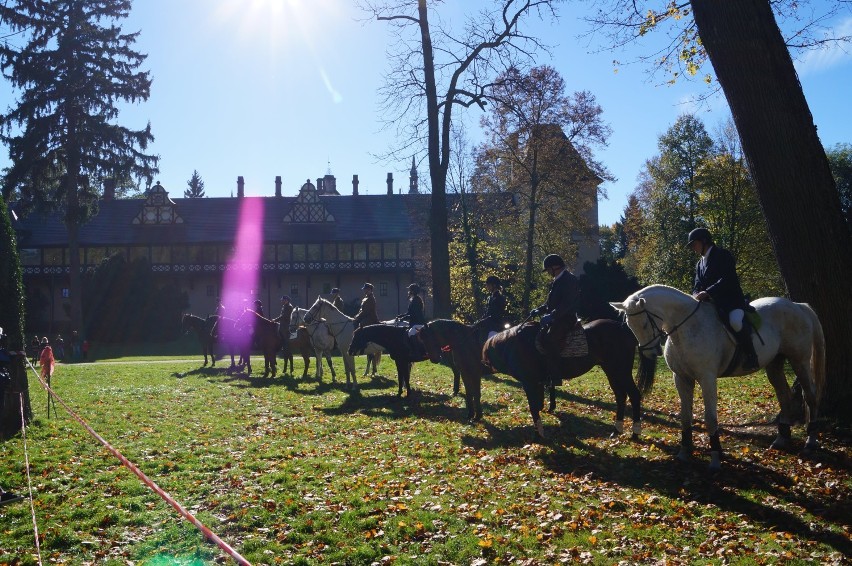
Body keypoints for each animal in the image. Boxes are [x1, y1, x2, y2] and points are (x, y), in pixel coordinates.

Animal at [422, 320, 656, 440]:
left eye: (426, 335)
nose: (434, 358)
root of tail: (624, 328)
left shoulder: (472, 374)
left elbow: (474, 394)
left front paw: (474, 416)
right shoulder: (468, 374)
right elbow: (472, 395)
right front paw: (473, 415)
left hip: (619, 369)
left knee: (633, 395)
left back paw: (634, 433)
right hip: (611, 370)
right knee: (620, 396)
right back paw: (616, 429)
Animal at [612, 286, 824, 472]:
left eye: (645, 323)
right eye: (630, 326)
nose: (649, 352)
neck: (686, 327)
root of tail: (797, 305)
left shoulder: (707, 378)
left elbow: (710, 418)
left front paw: (715, 458)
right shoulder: (681, 378)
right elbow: (685, 416)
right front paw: (684, 452)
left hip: (800, 361)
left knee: (811, 396)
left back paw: (810, 442)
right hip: (774, 365)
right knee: (784, 395)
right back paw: (781, 440)